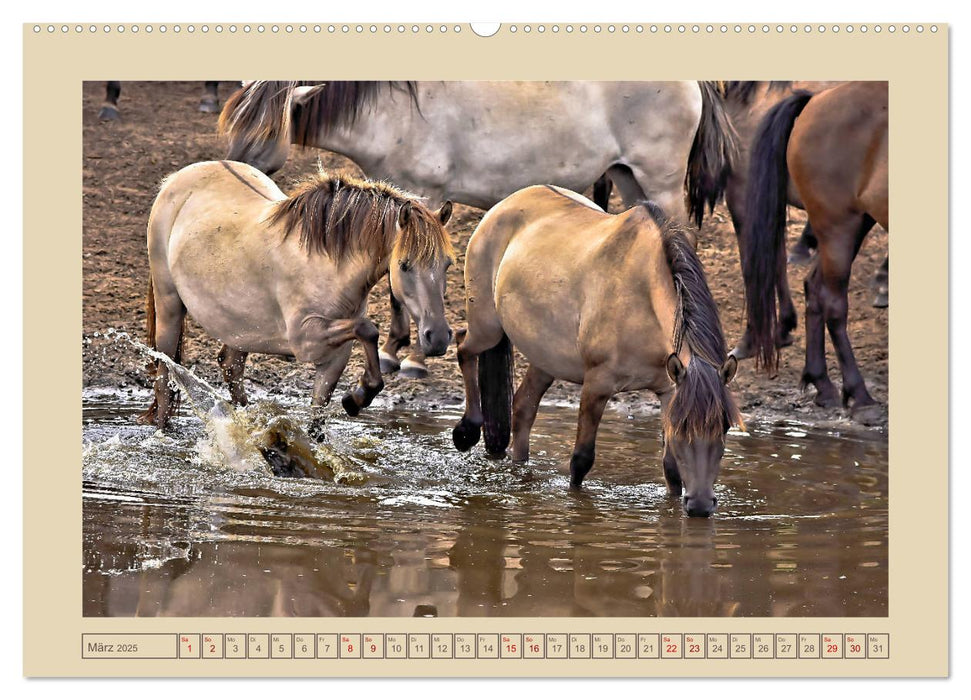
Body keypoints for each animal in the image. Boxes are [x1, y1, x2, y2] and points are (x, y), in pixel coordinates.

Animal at [139, 161, 458, 430]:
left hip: (240, 329)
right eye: (404, 265)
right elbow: (367, 328)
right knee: (165, 374)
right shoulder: (306, 340)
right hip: (170, 308)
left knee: (230, 367)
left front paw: (355, 398)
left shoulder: (334, 357)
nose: (438, 337)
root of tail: (174, 180)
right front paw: (357, 398)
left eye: (447, 264)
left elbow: (318, 418)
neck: (329, 262)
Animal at [452, 185, 740, 516]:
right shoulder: (597, 386)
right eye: (683, 427)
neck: (642, 297)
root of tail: (504, 203)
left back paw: (520, 468)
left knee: (523, 408)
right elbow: (581, 460)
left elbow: (671, 469)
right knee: (463, 346)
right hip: (488, 327)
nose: (701, 505)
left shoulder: (670, 390)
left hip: (545, 359)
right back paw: (466, 431)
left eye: (725, 427)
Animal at [744, 82, 888, 422]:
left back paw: (821, 384)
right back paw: (860, 397)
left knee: (815, 287)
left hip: (854, 224)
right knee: (833, 303)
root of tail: (815, 100)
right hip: (839, 225)